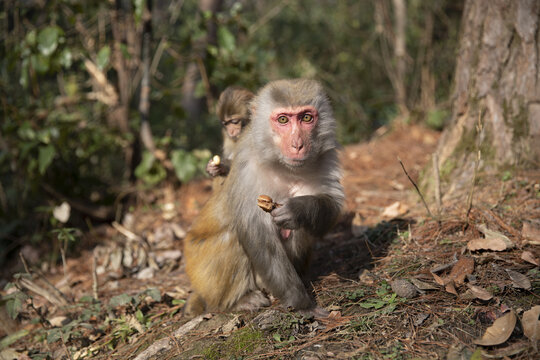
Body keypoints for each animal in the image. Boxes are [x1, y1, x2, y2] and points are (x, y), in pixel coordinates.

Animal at [184, 79, 344, 318]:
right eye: (283, 119)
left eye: (306, 118)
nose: (298, 145)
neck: (282, 165)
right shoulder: (247, 166)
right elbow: (258, 235)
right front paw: (302, 303)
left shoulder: (327, 158)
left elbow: (330, 209)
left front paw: (298, 209)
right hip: (202, 273)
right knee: (232, 237)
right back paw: (236, 302)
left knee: (298, 229)